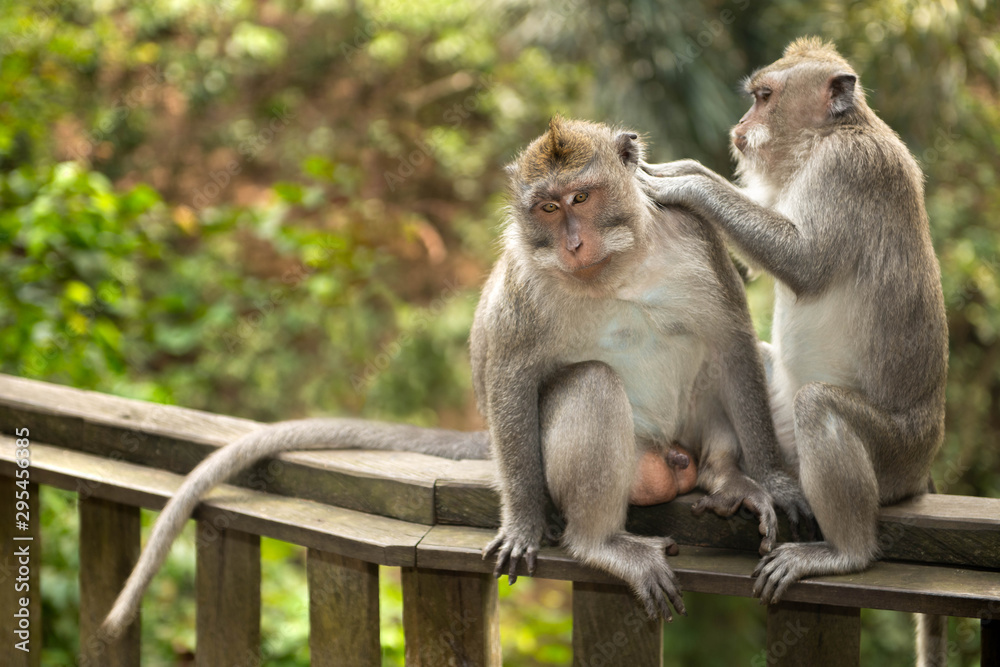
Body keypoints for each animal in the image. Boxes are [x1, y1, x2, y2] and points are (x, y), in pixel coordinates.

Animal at [98, 117, 810, 640]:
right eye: (546, 208)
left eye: (582, 198)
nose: (573, 242)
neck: (616, 265)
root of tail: (673, 457)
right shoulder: (525, 278)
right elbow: (509, 374)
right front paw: (523, 523)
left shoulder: (694, 239)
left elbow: (732, 342)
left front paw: (773, 480)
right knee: (591, 384)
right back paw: (600, 542)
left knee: (738, 360)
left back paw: (725, 477)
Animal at [638, 36, 948, 663]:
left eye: (763, 97)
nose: (739, 125)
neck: (825, 138)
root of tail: (923, 462)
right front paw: (683, 170)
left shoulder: (847, 169)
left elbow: (803, 262)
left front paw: (687, 182)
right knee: (753, 364)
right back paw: (735, 481)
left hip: (897, 455)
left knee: (819, 407)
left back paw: (846, 552)